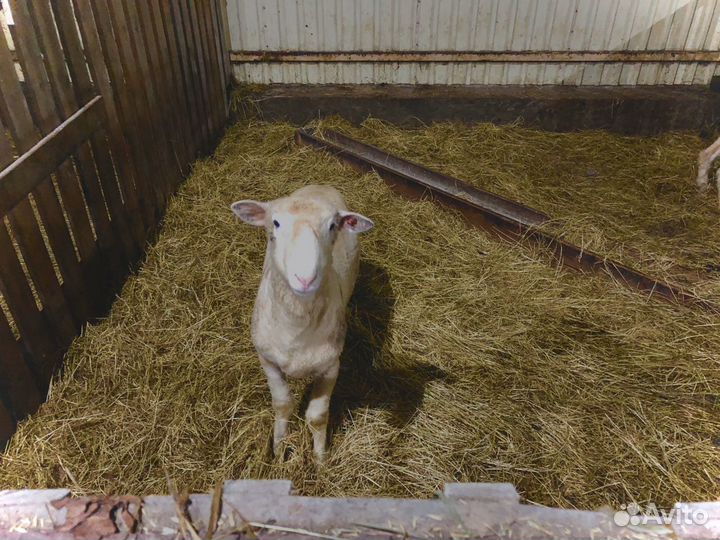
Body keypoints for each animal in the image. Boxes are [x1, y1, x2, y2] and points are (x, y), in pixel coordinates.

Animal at [231, 185, 374, 460]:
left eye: (332, 226)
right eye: (275, 223)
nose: (305, 279)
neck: (296, 327)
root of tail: (321, 185)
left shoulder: (331, 367)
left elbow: (317, 417)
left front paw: (320, 459)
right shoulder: (267, 360)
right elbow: (282, 404)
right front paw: (278, 448)